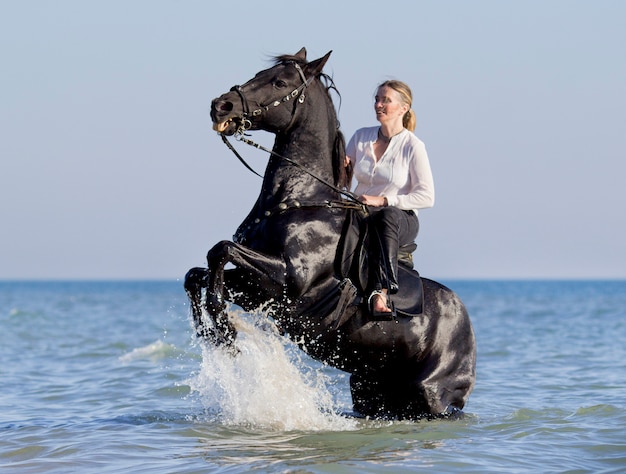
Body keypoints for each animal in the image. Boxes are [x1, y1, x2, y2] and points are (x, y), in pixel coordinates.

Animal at [183, 48, 476, 418]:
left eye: (279, 82)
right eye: (259, 74)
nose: (221, 105)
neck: (298, 199)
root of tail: (467, 326)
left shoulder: (289, 282)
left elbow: (220, 250)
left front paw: (224, 331)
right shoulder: (257, 289)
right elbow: (199, 273)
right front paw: (211, 332)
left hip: (432, 395)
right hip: (370, 389)